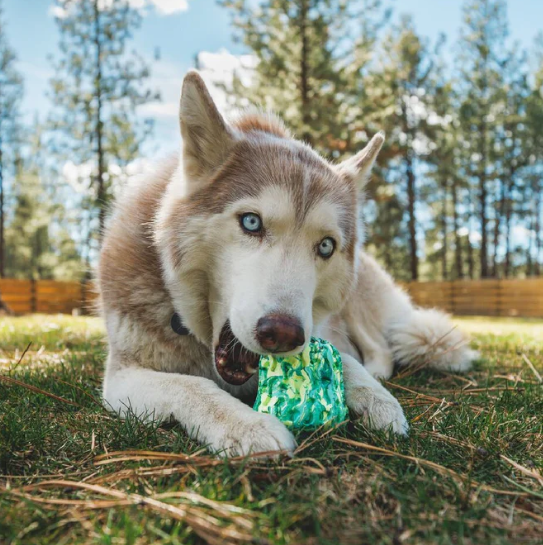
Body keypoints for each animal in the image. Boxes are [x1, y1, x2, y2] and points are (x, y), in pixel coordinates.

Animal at [98, 71, 476, 454]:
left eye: (326, 246)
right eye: (252, 222)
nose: (282, 334)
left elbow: (346, 360)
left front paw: (377, 397)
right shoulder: (121, 377)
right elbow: (190, 385)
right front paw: (245, 425)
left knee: (380, 347)